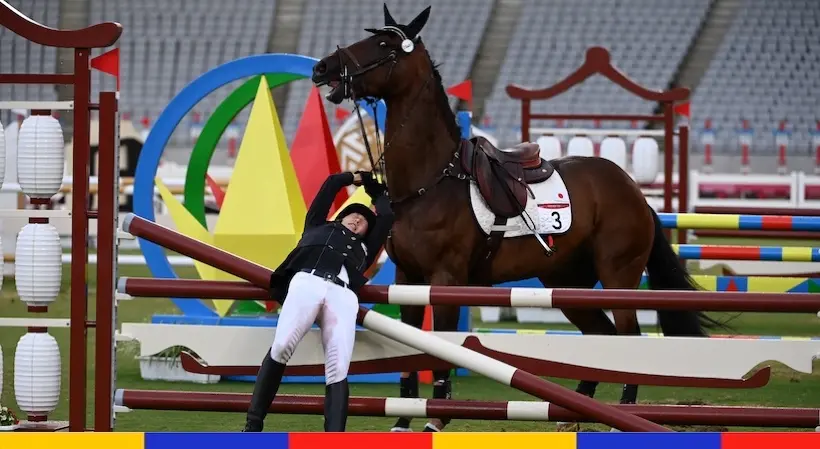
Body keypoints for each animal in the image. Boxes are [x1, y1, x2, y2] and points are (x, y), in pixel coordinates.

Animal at [310, 2, 720, 430]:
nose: (322, 67)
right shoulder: (408, 279)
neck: (431, 181)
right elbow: (409, 346)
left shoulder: (445, 280)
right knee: (600, 335)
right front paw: (403, 418)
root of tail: (633, 190)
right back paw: (575, 412)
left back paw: (618, 414)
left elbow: (440, 349)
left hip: (618, 277)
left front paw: (437, 416)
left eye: (384, 44)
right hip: (566, 284)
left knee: (627, 337)